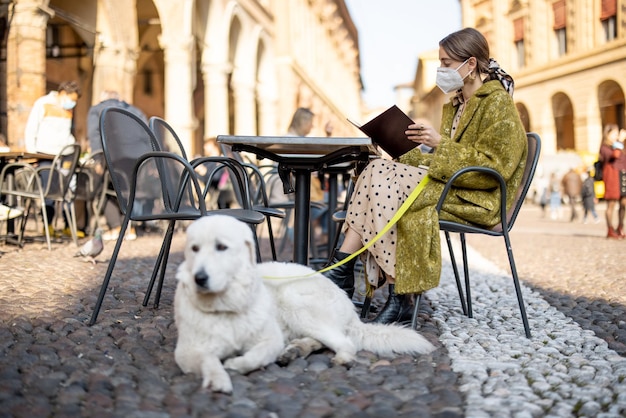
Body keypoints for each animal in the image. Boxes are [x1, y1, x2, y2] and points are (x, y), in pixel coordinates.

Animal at [172, 216, 434, 392]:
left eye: (221, 247)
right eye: (194, 249)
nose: (200, 277)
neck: (227, 304)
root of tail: (348, 305)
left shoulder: (269, 339)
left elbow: (255, 356)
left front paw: (236, 365)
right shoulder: (186, 351)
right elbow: (208, 359)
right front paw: (219, 378)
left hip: (295, 302)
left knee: (345, 343)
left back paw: (337, 358)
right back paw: (295, 350)